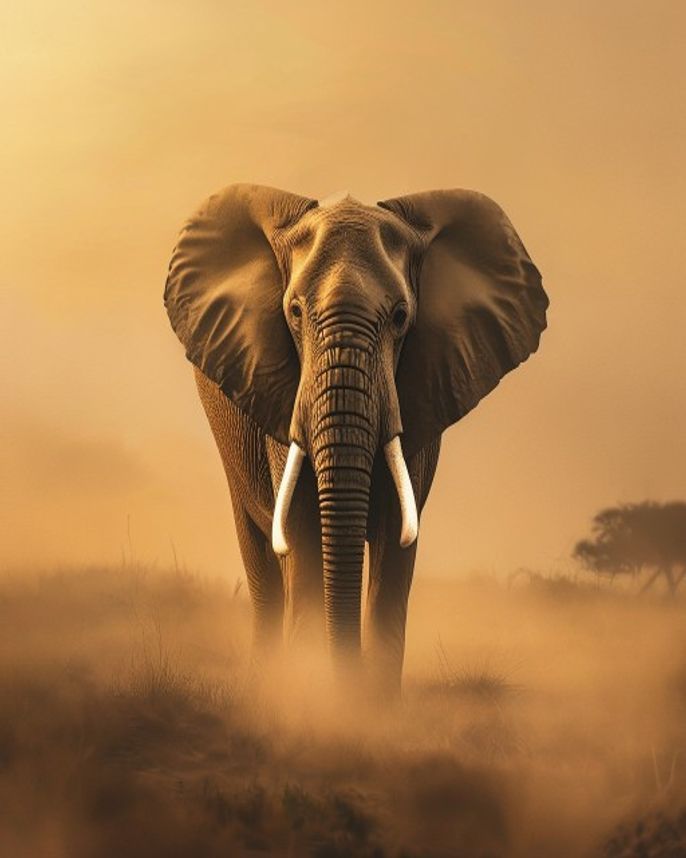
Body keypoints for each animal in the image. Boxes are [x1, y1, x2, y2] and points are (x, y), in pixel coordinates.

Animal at [164, 183, 548, 694]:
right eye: (294, 312)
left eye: (401, 316)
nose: (344, 679)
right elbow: (301, 525)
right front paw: (316, 694)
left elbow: (395, 534)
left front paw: (368, 706)